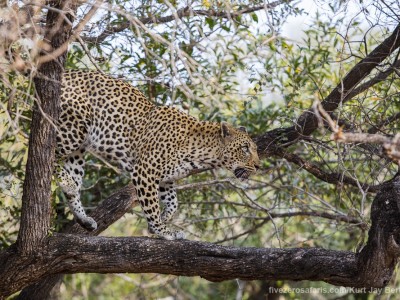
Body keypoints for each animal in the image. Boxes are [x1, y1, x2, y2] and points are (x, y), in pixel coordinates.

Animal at [56, 69, 260, 240]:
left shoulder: (166, 178)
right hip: (73, 128)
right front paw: (161, 230)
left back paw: (84, 218)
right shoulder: (144, 171)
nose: (258, 166)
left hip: (78, 150)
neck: (202, 152)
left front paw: (165, 218)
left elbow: (173, 202)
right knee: (53, 158)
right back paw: (68, 183)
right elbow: (152, 205)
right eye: (245, 148)